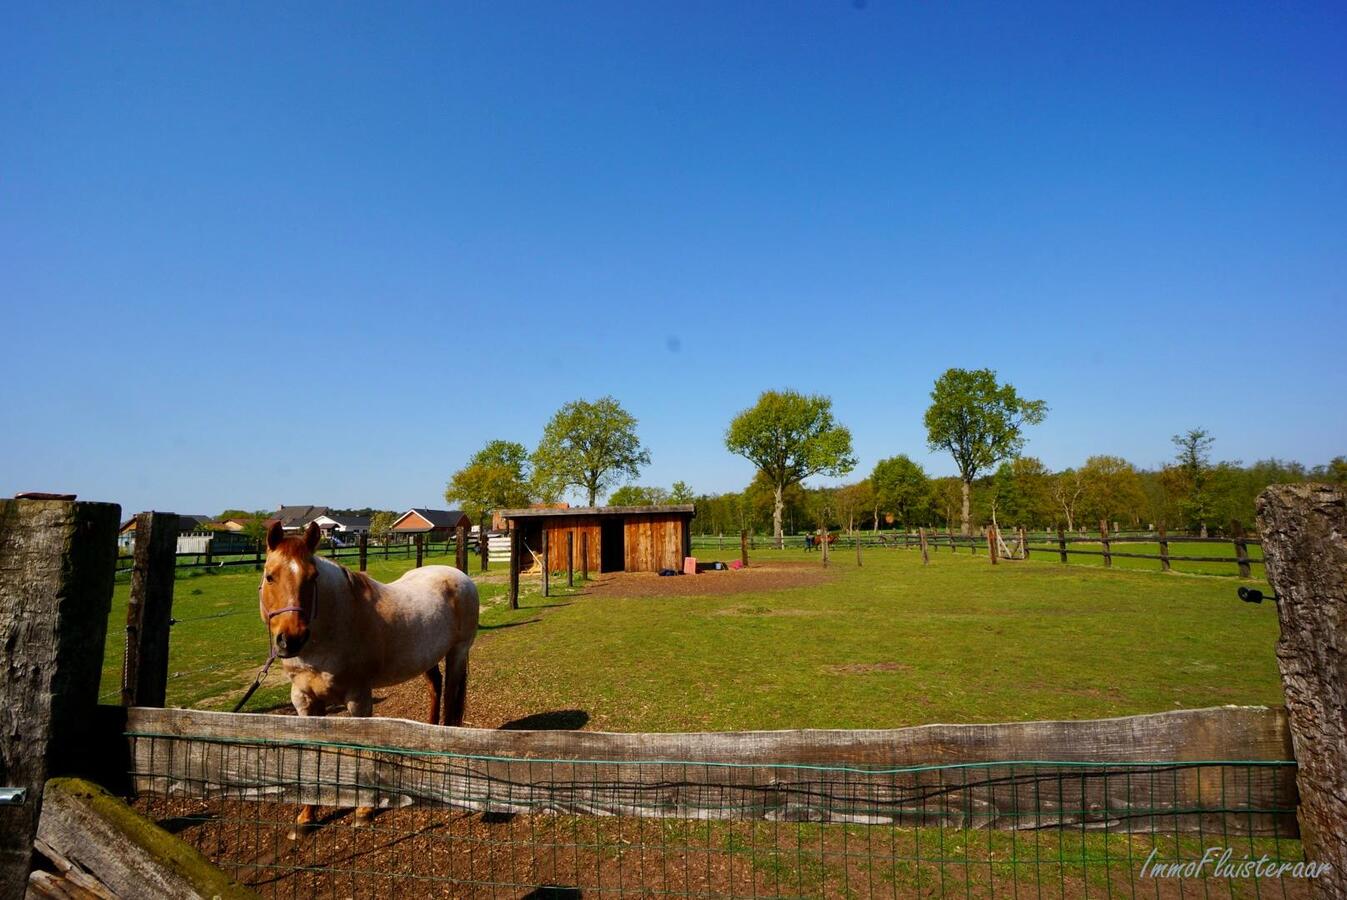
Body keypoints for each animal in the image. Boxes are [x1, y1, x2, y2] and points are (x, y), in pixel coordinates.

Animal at [257, 520, 479, 829]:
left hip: (457, 653)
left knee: (451, 699)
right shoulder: (304, 701)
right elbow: (313, 754)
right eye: (270, 577)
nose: (291, 640)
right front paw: (307, 814)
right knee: (436, 686)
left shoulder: (358, 699)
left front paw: (364, 810)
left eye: (312, 578)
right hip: (426, 657)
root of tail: (460, 576)